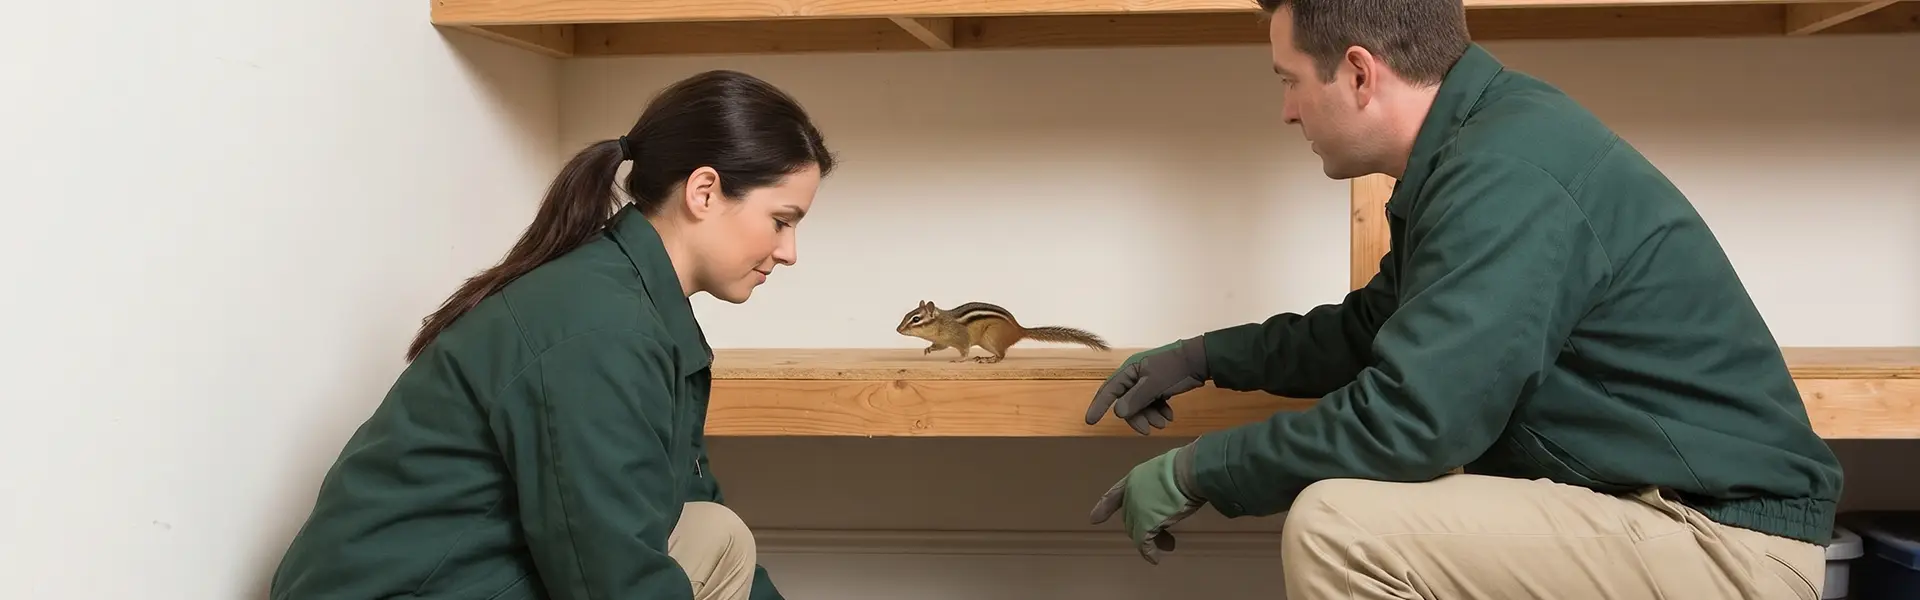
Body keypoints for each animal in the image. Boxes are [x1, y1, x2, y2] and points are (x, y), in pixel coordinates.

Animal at [894, 300, 1111, 363]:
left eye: (916, 319)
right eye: (907, 315)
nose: (898, 329)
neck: (943, 322)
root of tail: (1019, 330)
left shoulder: (961, 337)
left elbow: (964, 350)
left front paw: (960, 360)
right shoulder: (944, 341)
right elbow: (938, 346)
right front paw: (928, 350)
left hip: (992, 337)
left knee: (1003, 354)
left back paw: (990, 359)